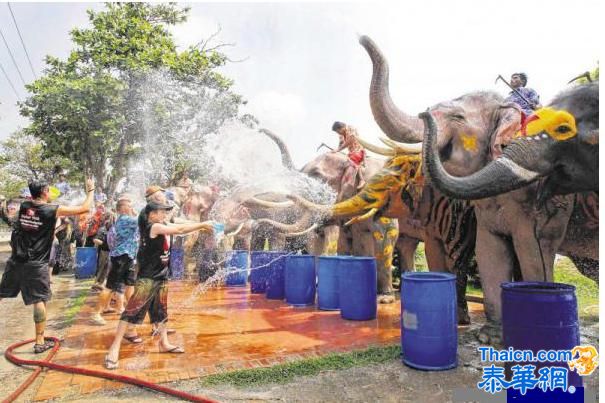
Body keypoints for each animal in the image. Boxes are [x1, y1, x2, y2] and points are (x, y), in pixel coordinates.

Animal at [360, 30, 596, 344]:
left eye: (458, 118)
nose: (424, 114)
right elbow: (488, 250)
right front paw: (490, 337)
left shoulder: (545, 201)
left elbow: (532, 249)